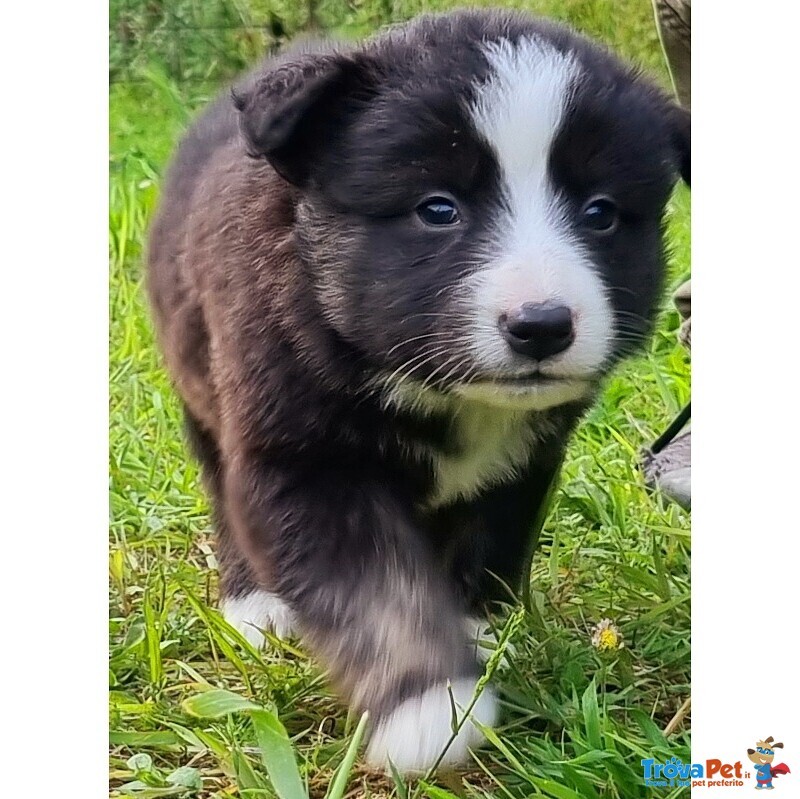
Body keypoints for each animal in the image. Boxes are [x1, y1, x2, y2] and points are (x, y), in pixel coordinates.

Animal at [148, 7, 688, 776]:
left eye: (600, 213)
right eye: (438, 209)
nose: (542, 325)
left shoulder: (525, 459)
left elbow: (487, 545)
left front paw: (478, 638)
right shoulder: (303, 460)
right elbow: (377, 591)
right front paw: (431, 705)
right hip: (200, 385)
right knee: (224, 492)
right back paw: (255, 605)